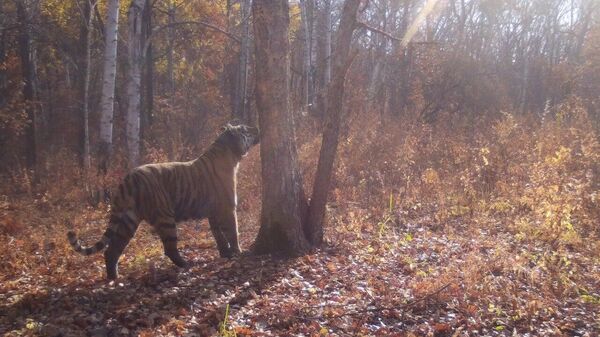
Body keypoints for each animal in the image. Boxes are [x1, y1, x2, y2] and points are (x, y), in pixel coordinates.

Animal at [68, 122, 260, 278]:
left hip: (128, 220)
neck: (230, 155)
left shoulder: (213, 212)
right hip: (164, 216)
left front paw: (226, 254)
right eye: (245, 129)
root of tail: (129, 178)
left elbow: (218, 235)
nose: (257, 127)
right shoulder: (228, 207)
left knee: (112, 250)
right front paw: (238, 253)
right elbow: (233, 232)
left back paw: (114, 278)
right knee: (169, 248)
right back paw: (186, 265)